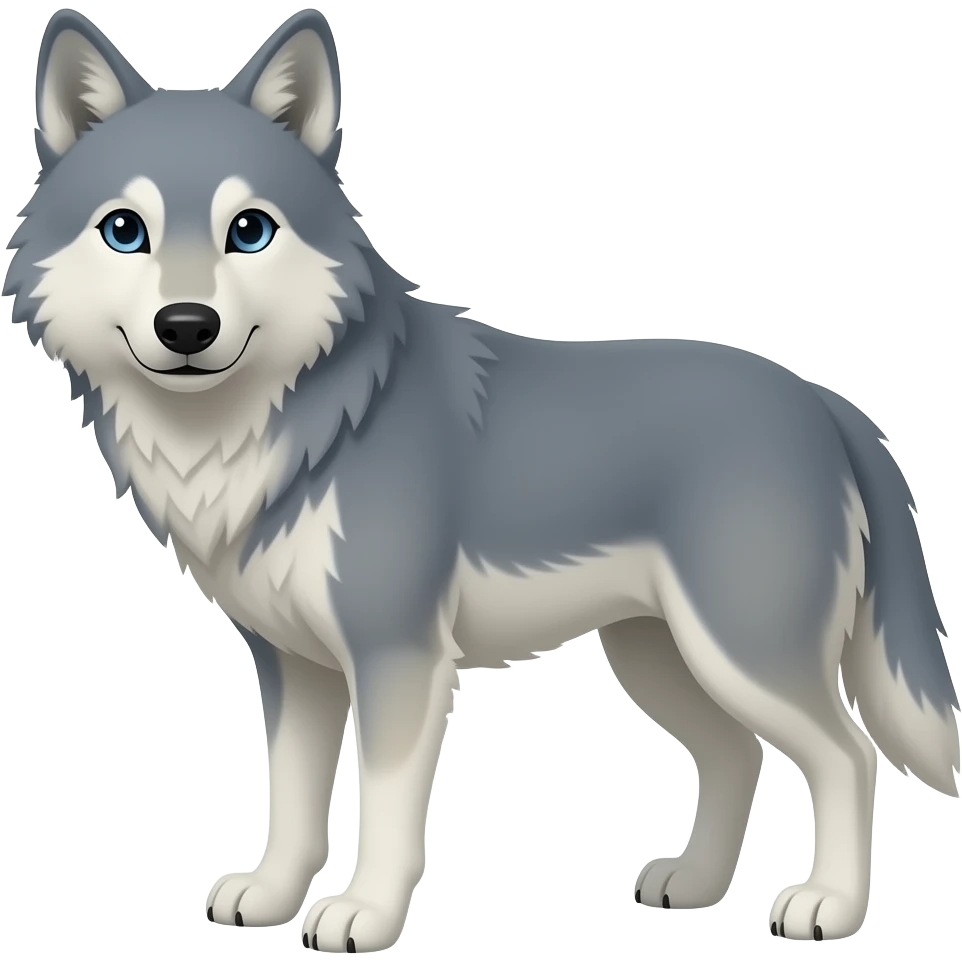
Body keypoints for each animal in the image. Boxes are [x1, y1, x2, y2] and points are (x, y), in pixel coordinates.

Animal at [4, 6, 958, 952]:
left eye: (250, 230)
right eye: (125, 230)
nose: (187, 326)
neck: (277, 428)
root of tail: (826, 402)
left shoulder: (399, 656)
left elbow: (385, 806)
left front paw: (364, 915)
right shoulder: (295, 667)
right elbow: (292, 801)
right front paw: (274, 897)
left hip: (742, 653)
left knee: (848, 756)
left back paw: (828, 905)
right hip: (660, 658)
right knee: (738, 754)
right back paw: (693, 885)